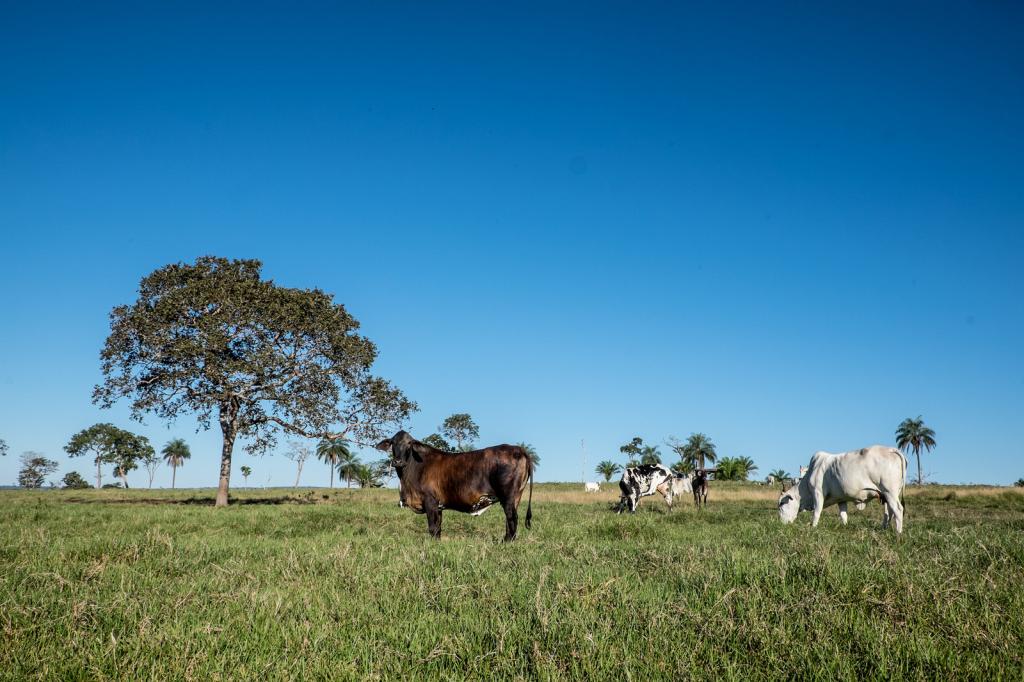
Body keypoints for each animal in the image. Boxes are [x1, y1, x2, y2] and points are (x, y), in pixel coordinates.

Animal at [376, 430, 536, 536]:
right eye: (392, 443)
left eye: (409, 443)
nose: (397, 461)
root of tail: (518, 448)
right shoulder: (438, 506)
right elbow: (438, 529)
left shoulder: (430, 501)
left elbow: (432, 528)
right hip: (516, 497)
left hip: (507, 496)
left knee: (512, 519)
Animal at [778, 444, 909, 532]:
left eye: (782, 504)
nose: (781, 524)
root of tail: (892, 449)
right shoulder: (841, 499)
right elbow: (843, 515)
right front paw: (845, 526)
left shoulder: (818, 493)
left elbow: (816, 512)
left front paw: (813, 527)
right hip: (887, 495)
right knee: (889, 511)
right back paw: (884, 529)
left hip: (889, 492)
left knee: (898, 510)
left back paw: (898, 533)